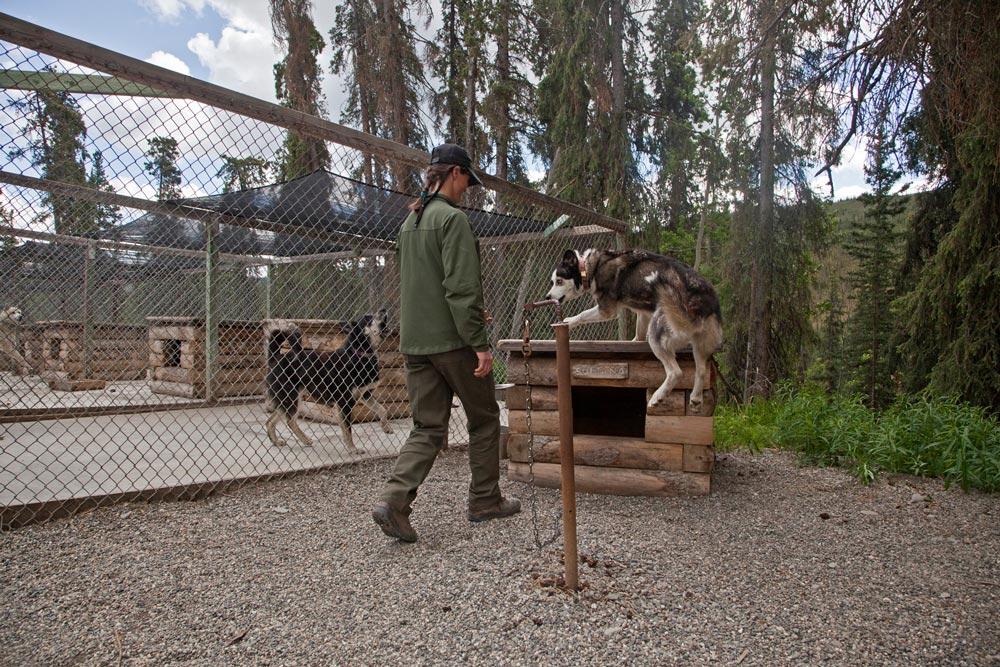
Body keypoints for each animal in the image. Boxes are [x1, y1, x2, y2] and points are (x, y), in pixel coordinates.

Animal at [264, 310, 392, 452]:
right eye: (368, 317)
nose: (384, 309)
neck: (359, 353)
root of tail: (275, 357)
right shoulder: (344, 402)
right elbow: (347, 430)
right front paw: (352, 449)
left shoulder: (365, 395)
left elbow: (383, 410)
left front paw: (386, 427)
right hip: (291, 398)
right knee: (290, 421)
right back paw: (304, 439)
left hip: (291, 399)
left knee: (270, 421)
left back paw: (277, 441)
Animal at [544, 249, 724, 412]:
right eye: (553, 281)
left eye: (559, 281)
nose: (547, 297)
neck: (590, 267)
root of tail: (702, 300)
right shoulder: (642, 313)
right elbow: (638, 334)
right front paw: (633, 344)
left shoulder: (606, 311)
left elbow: (582, 315)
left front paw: (569, 321)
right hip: (699, 344)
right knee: (701, 371)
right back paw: (695, 399)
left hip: (657, 333)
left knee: (676, 373)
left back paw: (657, 398)